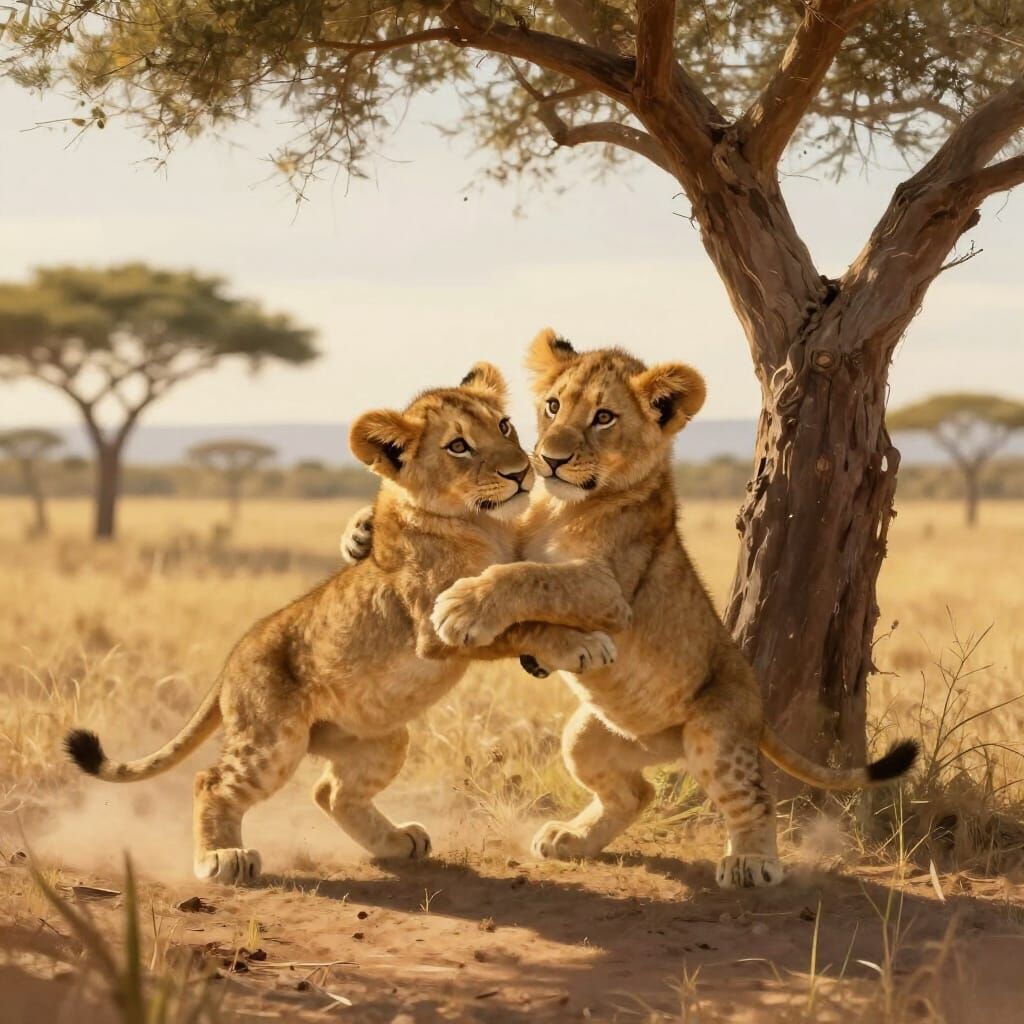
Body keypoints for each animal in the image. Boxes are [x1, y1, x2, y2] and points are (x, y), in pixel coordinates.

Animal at [63, 363, 630, 884]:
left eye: (505, 426)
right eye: (459, 447)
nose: (520, 472)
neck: (484, 522)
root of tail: (234, 655)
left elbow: (531, 589)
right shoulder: (432, 626)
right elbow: (522, 620)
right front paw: (578, 646)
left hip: (382, 739)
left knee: (331, 791)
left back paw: (398, 841)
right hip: (274, 741)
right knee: (212, 780)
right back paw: (222, 858)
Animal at [343, 333, 918, 888]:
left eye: (604, 417)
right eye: (552, 406)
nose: (545, 460)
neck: (560, 504)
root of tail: (755, 708)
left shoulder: (609, 589)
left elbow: (532, 575)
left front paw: (462, 606)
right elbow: (517, 561)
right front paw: (361, 533)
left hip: (715, 734)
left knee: (752, 799)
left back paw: (752, 861)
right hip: (586, 738)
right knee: (637, 792)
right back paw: (570, 839)